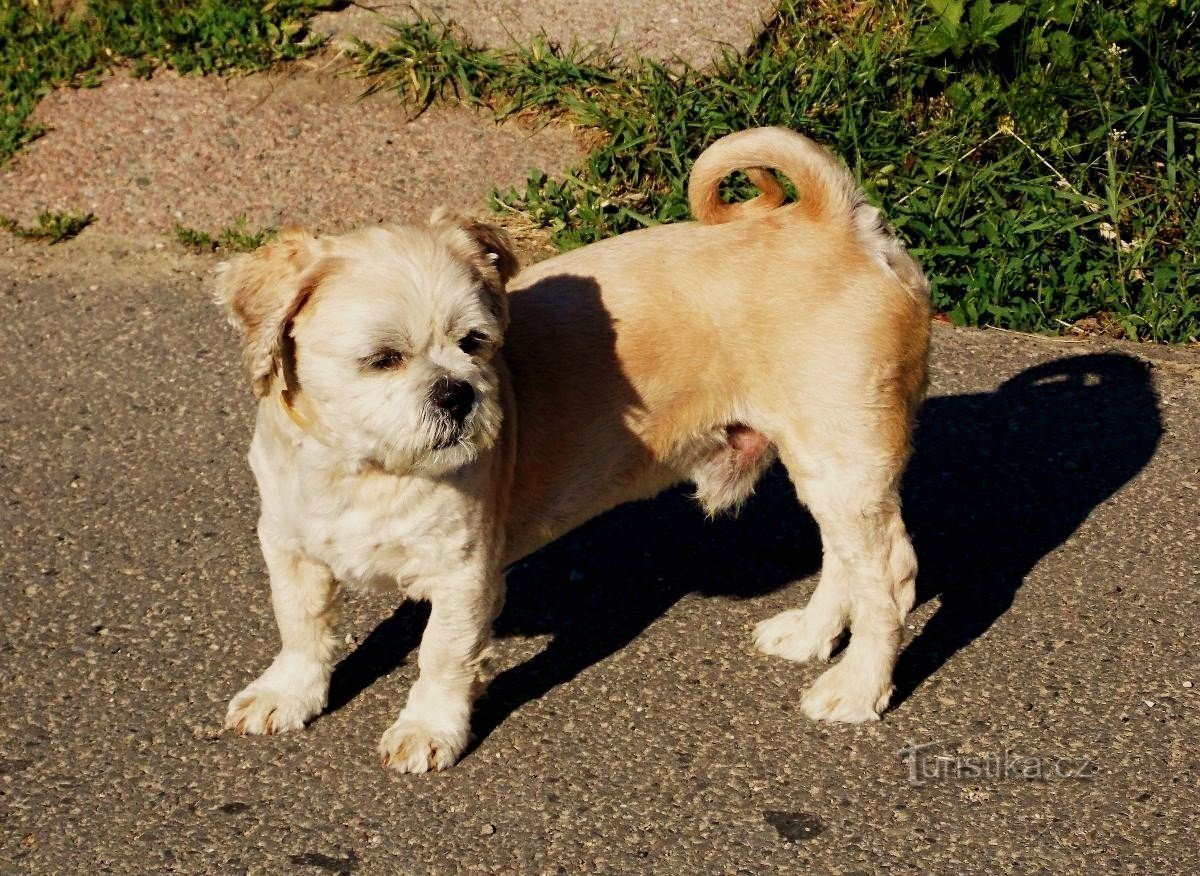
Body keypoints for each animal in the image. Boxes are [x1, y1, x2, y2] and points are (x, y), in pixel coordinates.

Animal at [216, 126, 926, 768]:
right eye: (382, 359)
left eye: (475, 343)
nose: (457, 394)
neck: (362, 471)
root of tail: (840, 223)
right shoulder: (288, 545)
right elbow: (301, 626)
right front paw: (288, 693)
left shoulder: (463, 573)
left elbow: (442, 655)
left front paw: (428, 727)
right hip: (830, 469)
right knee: (844, 561)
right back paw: (809, 636)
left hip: (843, 454)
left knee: (887, 578)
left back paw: (858, 686)